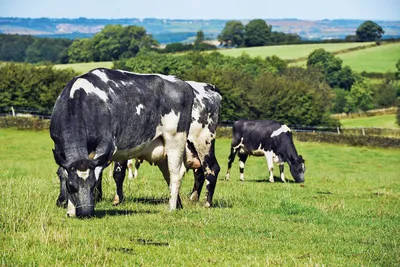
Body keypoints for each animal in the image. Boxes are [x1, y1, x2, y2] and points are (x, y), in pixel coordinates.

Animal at [50, 68, 195, 219]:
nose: (86, 213)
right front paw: (70, 210)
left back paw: (172, 208)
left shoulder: (106, 145)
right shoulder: (59, 148)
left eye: (93, 184)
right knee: (168, 174)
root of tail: (182, 83)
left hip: (175, 139)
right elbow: (64, 172)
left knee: (175, 174)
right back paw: (178, 204)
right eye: (71, 186)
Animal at [110, 80, 222, 208]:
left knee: (212, 169)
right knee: (199, 173)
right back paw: (193, 198)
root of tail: (209, 87)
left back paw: (207, 203)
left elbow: (118, 173)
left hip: (203, 143)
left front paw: (117, 200)